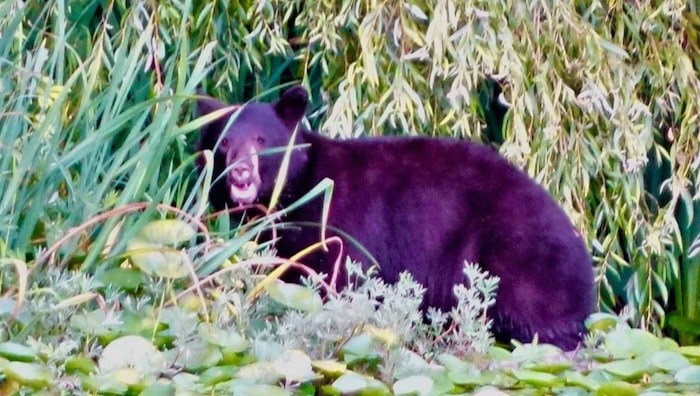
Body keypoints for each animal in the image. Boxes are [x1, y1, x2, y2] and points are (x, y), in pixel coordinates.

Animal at [196, 86, 596, 350]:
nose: (239, 173)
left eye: (262, 140)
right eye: (224, 142)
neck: (295, 191)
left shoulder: (338, 222)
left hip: (514, 255)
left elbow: (337, 277)